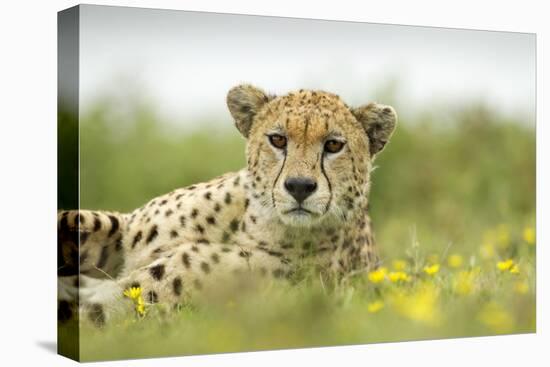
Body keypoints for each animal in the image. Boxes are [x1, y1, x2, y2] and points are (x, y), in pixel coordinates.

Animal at [58, 85, 398, 326]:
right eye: (277, 139)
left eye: (333, 145)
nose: (299, 186)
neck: (248, 222)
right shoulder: (125, 234)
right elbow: (75, 221)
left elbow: (93, 313)